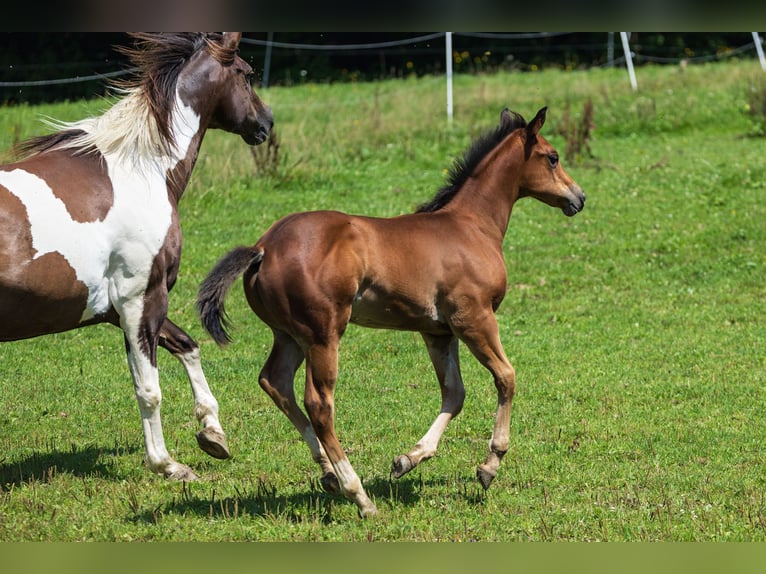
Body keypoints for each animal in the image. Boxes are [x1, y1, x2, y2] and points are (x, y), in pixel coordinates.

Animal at [0, 33, 273, 481]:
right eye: (247, 74)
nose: (265, 123)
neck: (139, 171)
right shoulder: (141, 300)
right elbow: (149, 389)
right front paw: (168, 464)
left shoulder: (117, 307)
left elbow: (187, 346)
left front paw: (212, 432)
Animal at [197, 106, 584, 516]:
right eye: (553, 157)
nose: (579, 197)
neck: (472, 226)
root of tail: (263, 248)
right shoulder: (473, 319)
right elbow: (506, 378)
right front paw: (489, 465)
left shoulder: (437, 331)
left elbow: (454, 394)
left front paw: (408, 460)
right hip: (323, 333)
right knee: (319, 403)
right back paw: (358, 493)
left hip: (289, 334)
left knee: (275, 382)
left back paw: (329, 472)